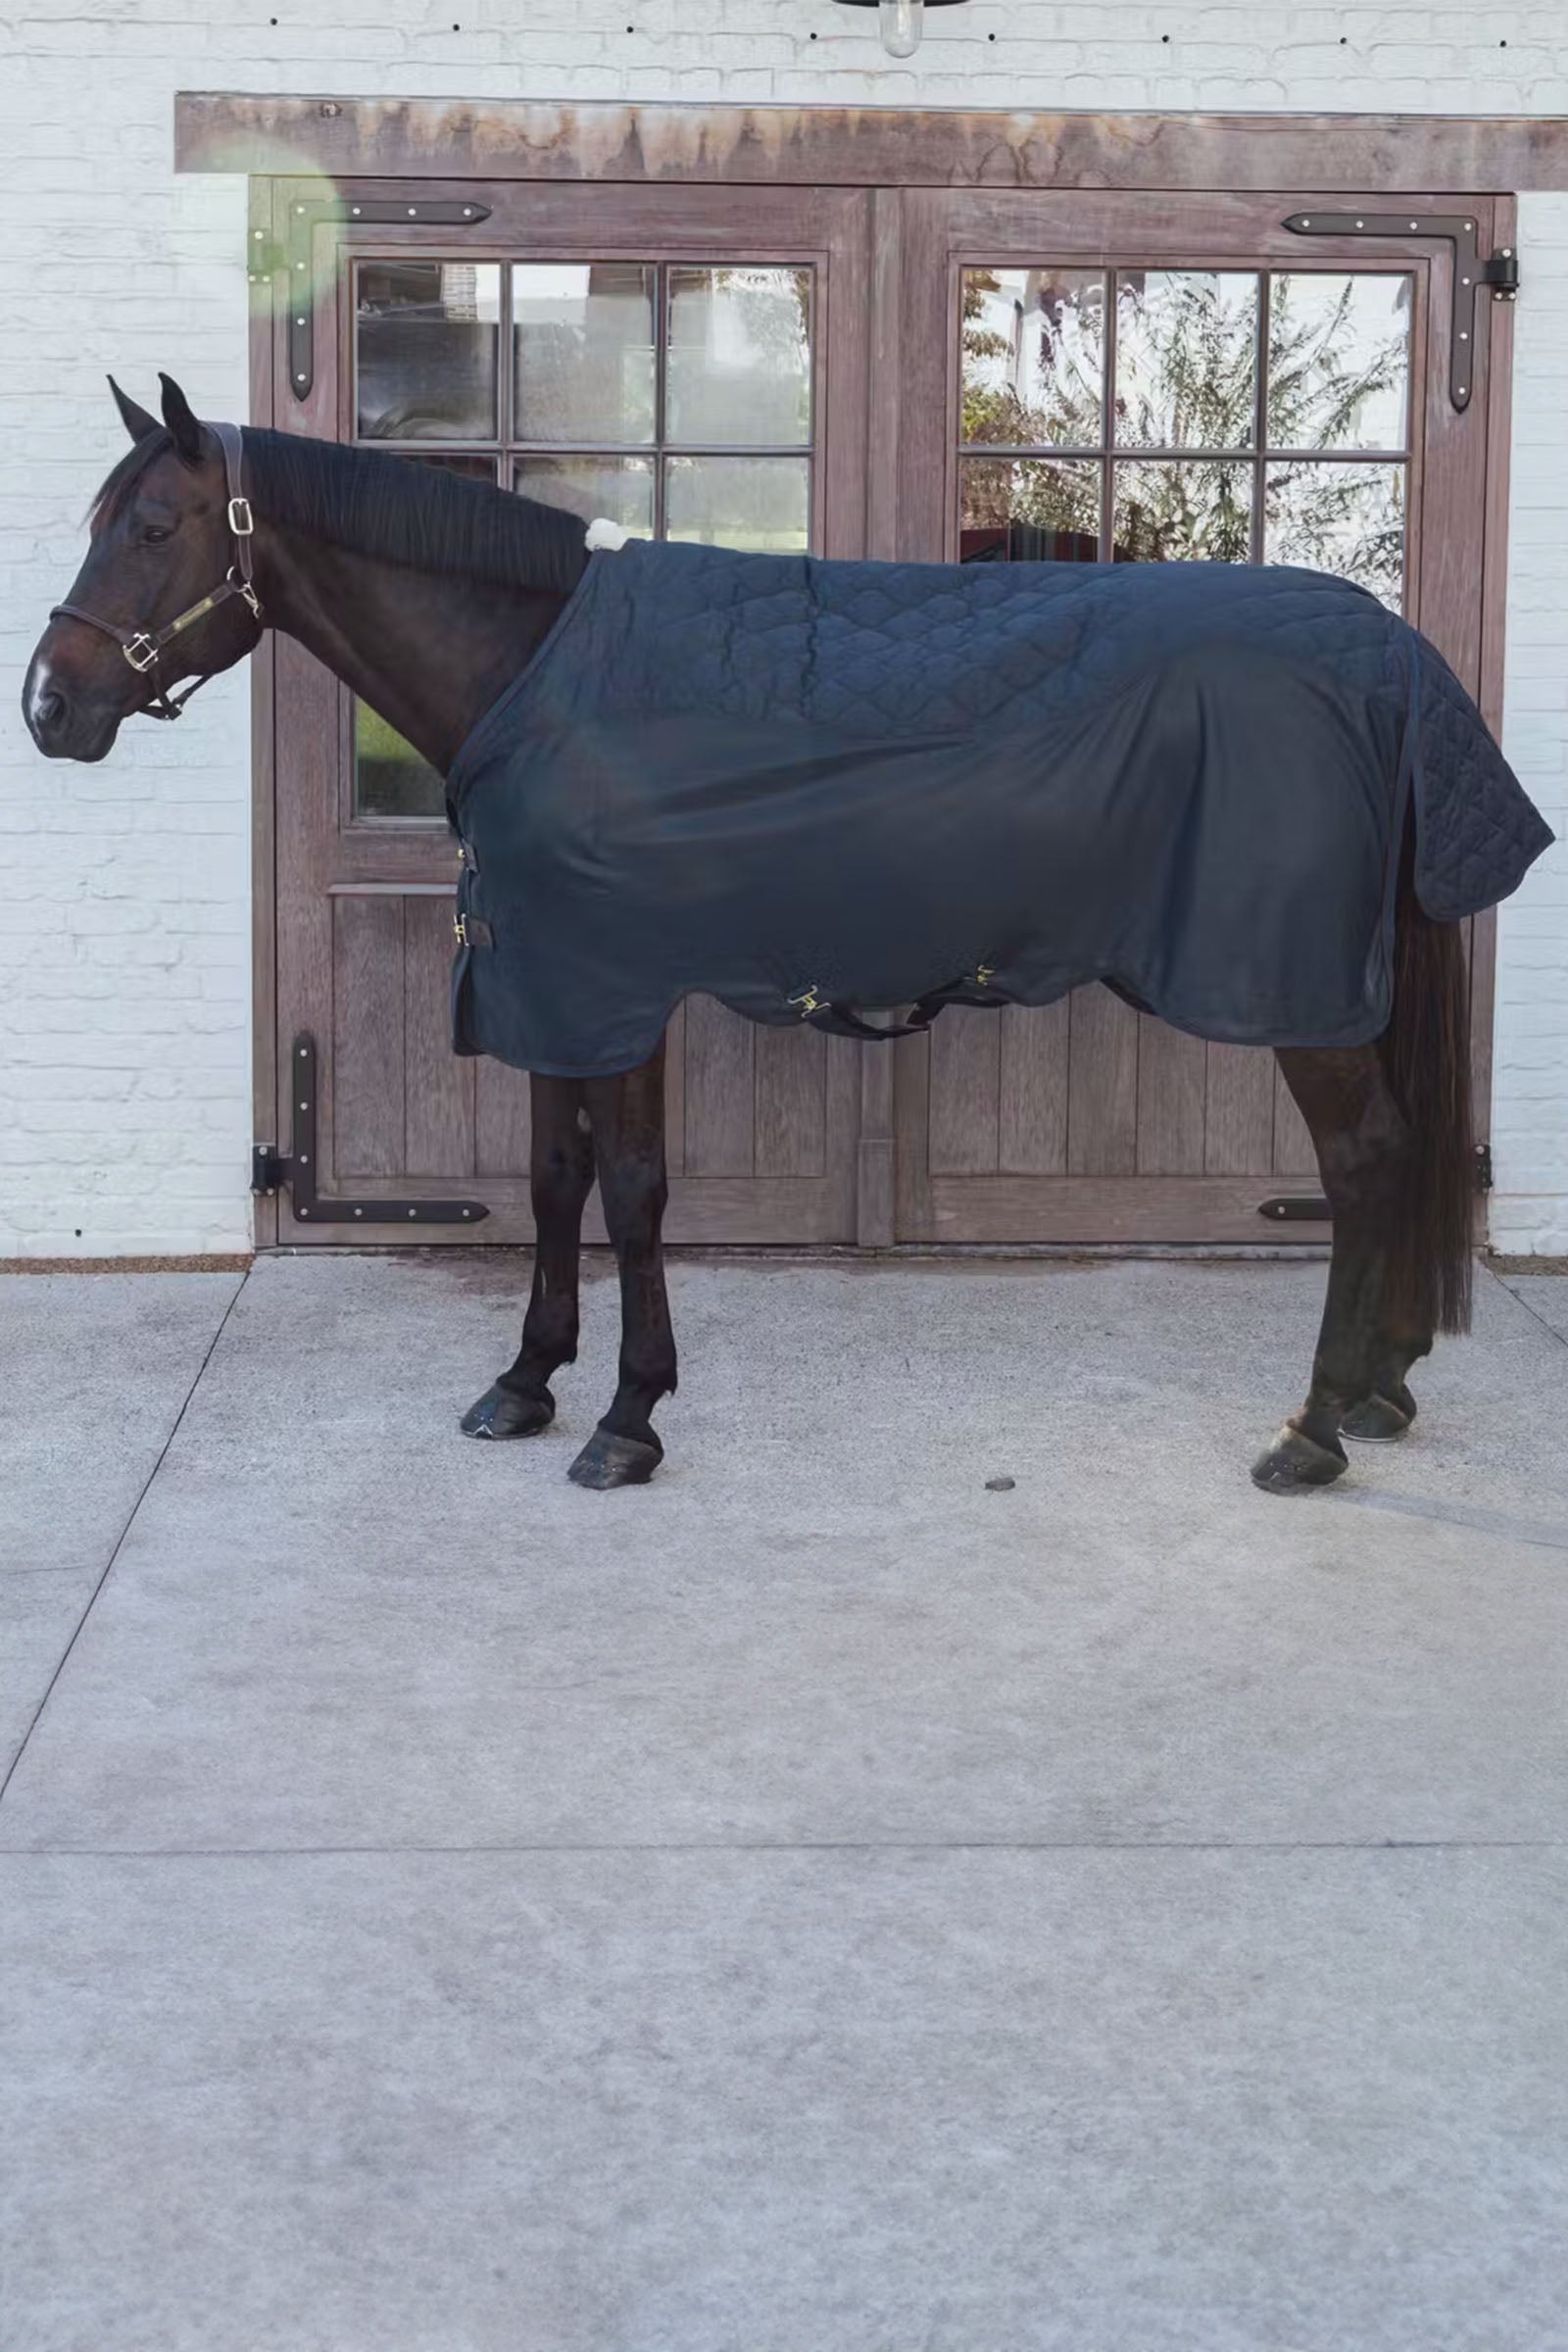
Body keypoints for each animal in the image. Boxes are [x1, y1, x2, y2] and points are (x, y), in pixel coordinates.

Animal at [23, 373, 1528, 1496]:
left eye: (151, 526)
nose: (50, 704)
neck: (545, 677)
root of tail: (1388, 660)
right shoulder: (542, 980)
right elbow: (553, 1179)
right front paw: (524, 1384)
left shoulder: (613, 984)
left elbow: (633, 1189)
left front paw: (628, 1419)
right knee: (1399, 1152)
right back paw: (1380, 1389)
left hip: (1296, 992)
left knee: (1367, 1157)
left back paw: (1314, 1428)